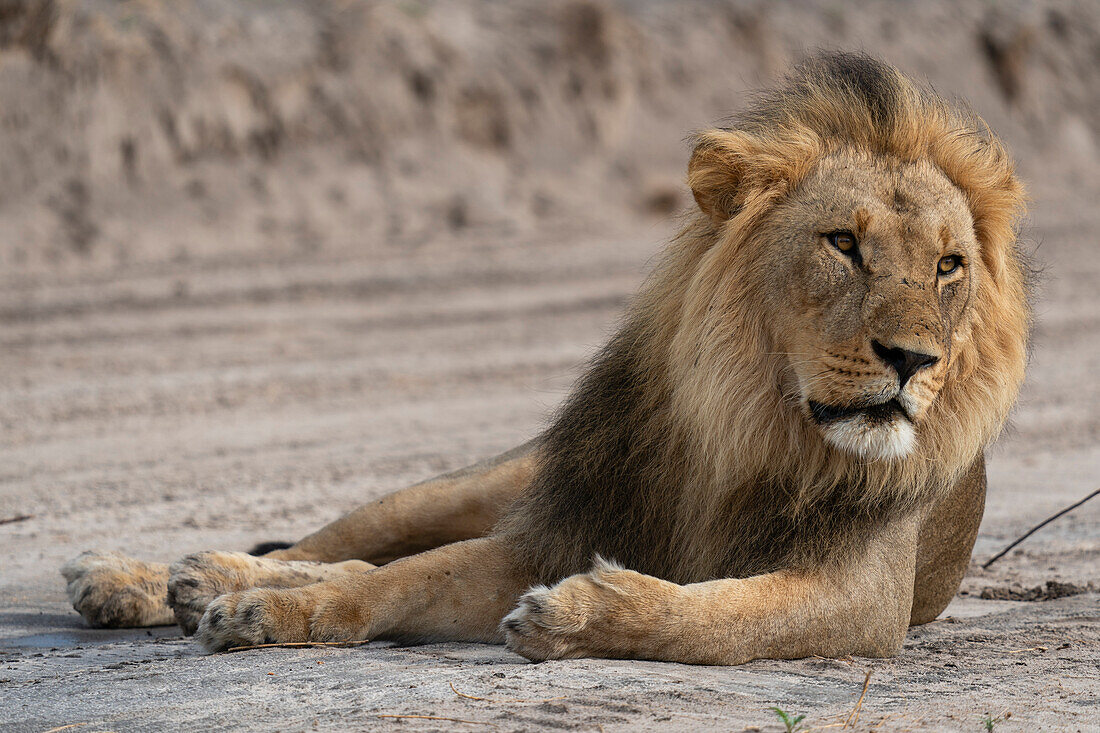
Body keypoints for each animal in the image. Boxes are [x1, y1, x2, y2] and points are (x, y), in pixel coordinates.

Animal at [60, 54, 1025, 660]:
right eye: (843, 244)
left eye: (949, 266)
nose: (914, 360)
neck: (748, 426)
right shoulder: (550, 525)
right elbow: (394, 579)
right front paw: (266, 607)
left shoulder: (863, 599)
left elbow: (716, 617)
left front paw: (578, 613)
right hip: (493, 479)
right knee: (342, 539)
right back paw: (145, 577)